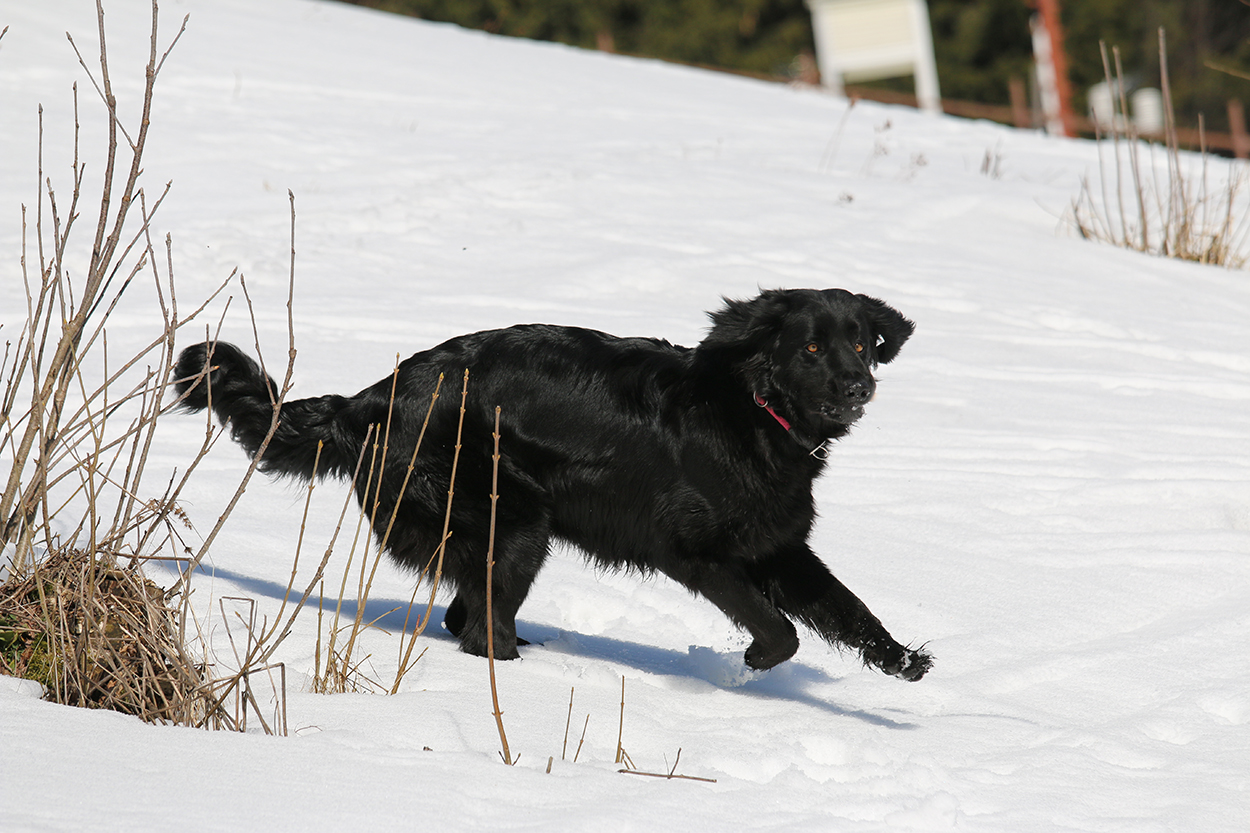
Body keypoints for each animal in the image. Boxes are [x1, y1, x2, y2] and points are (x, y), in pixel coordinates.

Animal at [173, 288, 931, 680]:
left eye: (861, 343)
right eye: (811, 347)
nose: (858, 386)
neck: (751, 406)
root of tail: (371, 399)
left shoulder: (779, 546)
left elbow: (847, 607)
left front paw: (901, 659)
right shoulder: (691, 552)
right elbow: (780, 628)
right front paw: (752, 658)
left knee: (469, 613)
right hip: (514, 521)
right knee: (481, 626)